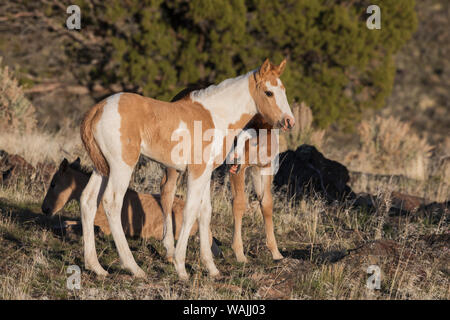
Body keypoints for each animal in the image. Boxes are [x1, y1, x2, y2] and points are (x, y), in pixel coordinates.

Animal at [79, 58, 294, 278]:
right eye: (269, 92)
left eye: (284, 90)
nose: (289, 121)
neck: (215, 116)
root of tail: (98, 108)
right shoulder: (197, 172)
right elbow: (190, 210)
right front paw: (181, 268)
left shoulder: (206, 173)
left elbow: (205, 212)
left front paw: (211, 268)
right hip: (122, 165)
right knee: (112, 203)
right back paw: (134, 268)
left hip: (102, 167)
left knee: (88, 200)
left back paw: (96, 267)